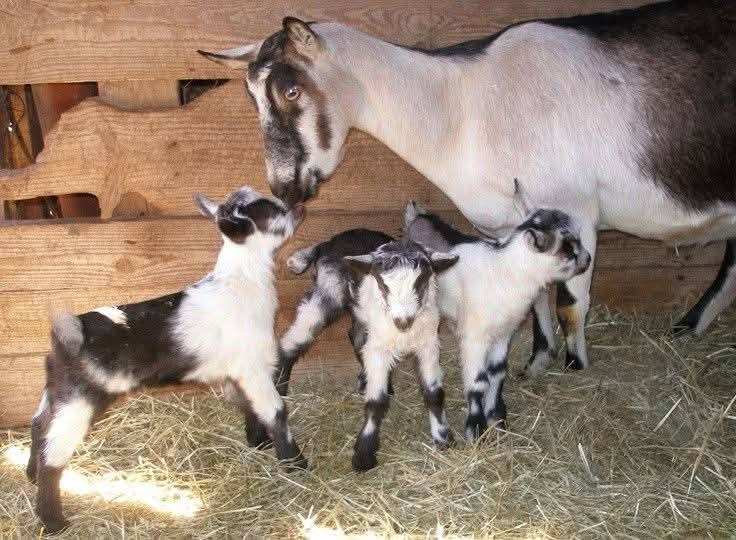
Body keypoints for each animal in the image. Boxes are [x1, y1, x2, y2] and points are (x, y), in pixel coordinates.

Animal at [26, 187, 306, 533]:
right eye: (268, 209)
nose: (300, 207)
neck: (242, 281)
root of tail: (67, 333)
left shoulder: (239, 373)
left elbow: (251, 407)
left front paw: (259, 443)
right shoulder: (253, 368)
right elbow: (277, 410)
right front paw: (295, 462)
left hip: (58, 391)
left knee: (39, 424)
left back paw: (30, 475)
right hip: (79, 400)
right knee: (53, 453)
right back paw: (53, 521)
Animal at [200, 2, 736, 380]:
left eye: (292, 91)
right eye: (251, 97)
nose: (285, 186)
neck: (464, 108)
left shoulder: (577, 210)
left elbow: (569, 302)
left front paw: (576, 367)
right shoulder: (508, 223)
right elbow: (535, 294)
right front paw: (537, 363)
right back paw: (689, 328)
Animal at [278, 231, 458, 470]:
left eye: (421, 281)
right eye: (382, 283)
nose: (403, 321)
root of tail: (329, 242)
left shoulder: (427, 344)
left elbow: (434, 394)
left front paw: (443, 438)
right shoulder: (379, 349)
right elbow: (376, 401)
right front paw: (363, 455)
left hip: (361, 314)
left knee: (355, 336)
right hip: (327, 293)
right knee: (291, 343)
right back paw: (279, 390)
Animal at [404, 190, 590, 441]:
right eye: (568, 249)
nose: (588, 259)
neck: (504, 272)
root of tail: (417, 217)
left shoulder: (504, 333)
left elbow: (497, 372)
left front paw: (497, 420)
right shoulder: (475, 337)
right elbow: (477, 381)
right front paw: (475, 431)